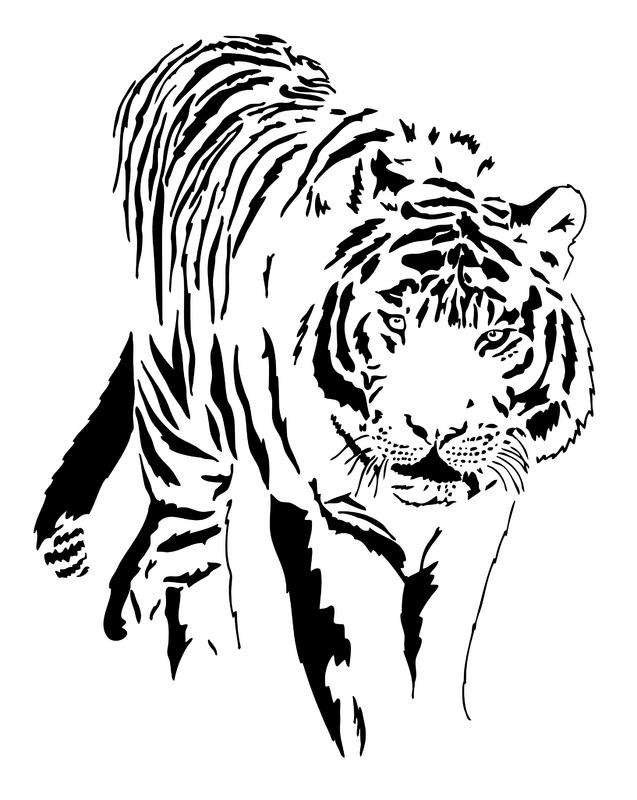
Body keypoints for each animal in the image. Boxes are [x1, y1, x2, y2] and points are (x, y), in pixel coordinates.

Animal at [34, 34, 594, 756]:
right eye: (395, 320)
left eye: (495, 334)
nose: (435, 431)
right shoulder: (323, 520)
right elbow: (354, 669)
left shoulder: (477, 524)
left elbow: (439, 655)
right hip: (181, 414)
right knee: (192, 552)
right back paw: (204, 675)